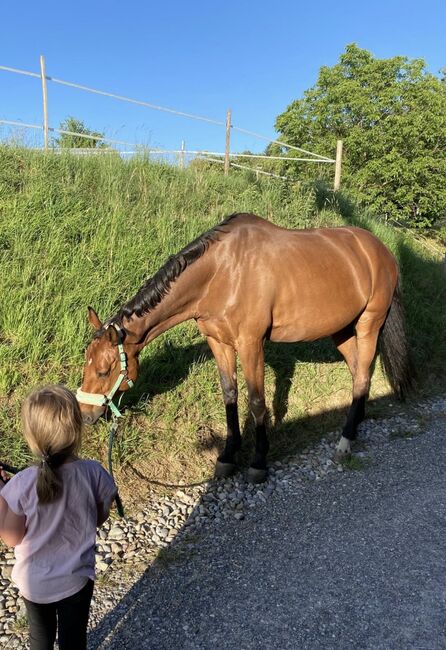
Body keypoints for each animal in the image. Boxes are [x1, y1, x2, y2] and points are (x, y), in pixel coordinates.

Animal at [76, 213, 412, 480]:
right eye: (86, 365)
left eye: (104, 371)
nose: (85, 415)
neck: (222, 272)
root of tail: (382, 250)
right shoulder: (219, 342)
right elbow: (230, 396)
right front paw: (227, 456)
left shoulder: (251, 344)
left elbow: (257, 402)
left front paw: (258, 462)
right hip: (341, 331)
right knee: (359, 375)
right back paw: (355, 424)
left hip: (369, 324)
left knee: (362, 375)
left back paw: (345, 441)